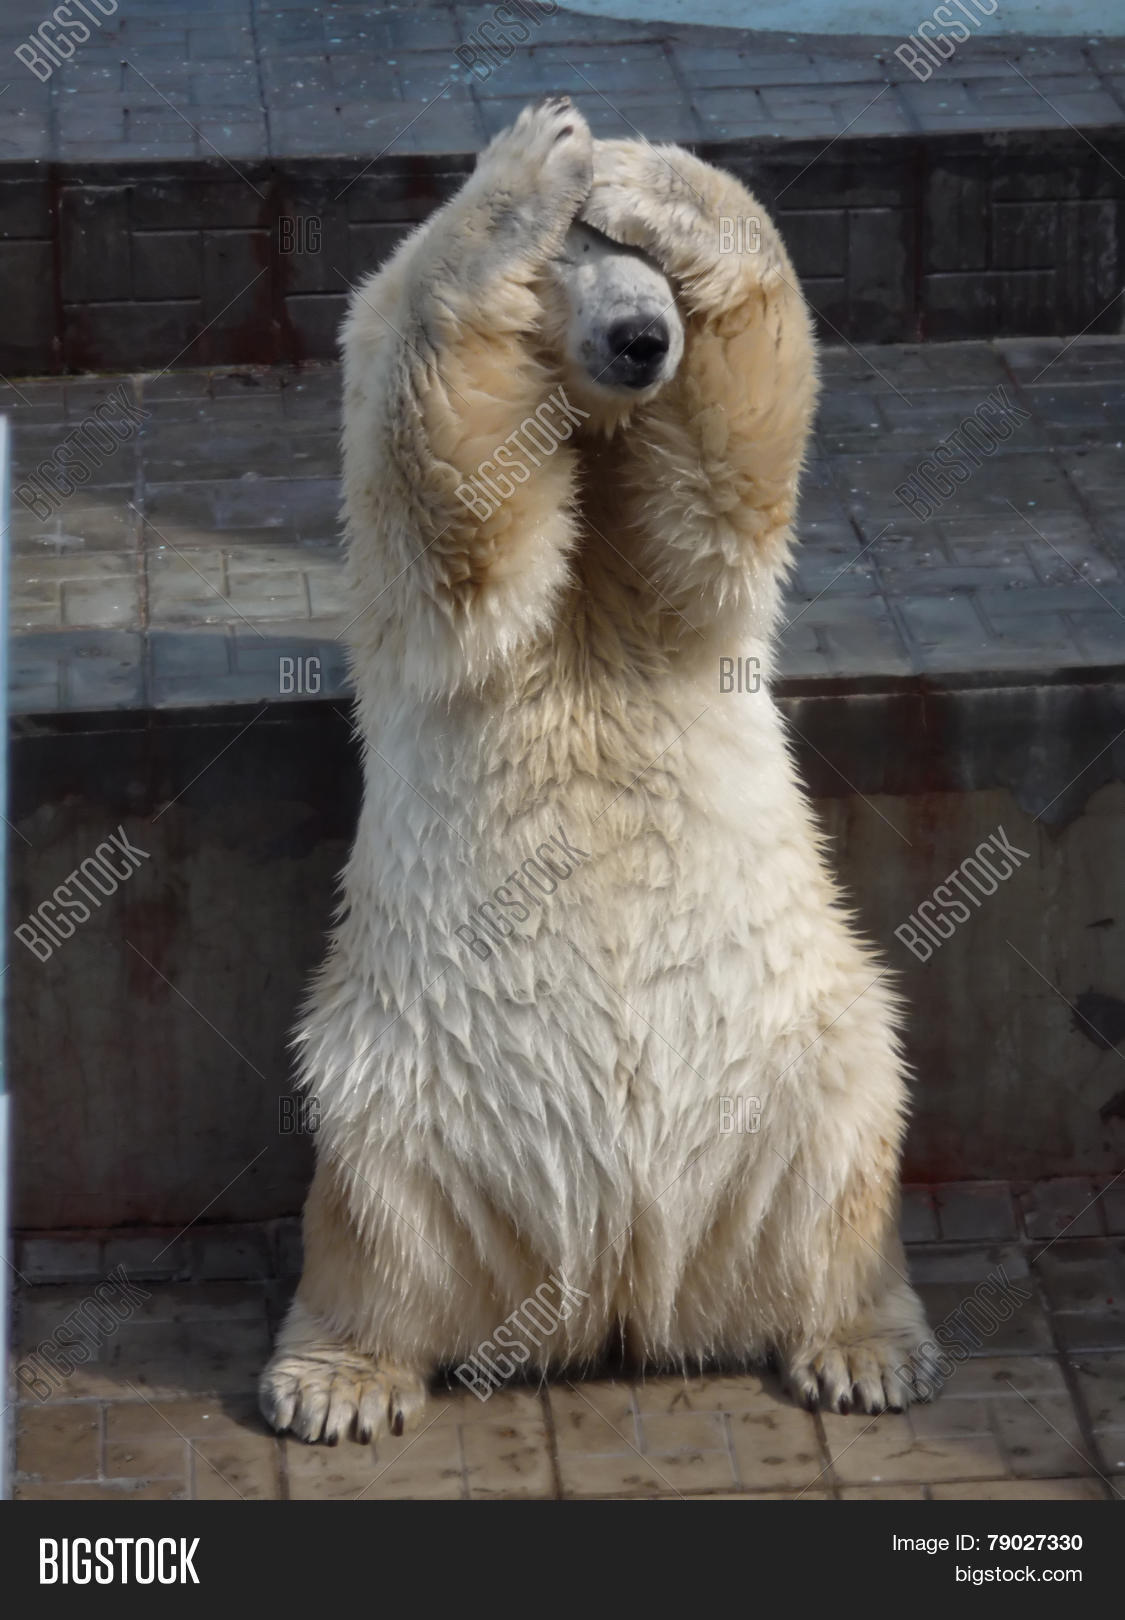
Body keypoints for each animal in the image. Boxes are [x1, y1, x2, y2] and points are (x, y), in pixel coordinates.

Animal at [259, 97, 936, 1446]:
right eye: (577, 256)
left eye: (649, 271)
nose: (643, 336)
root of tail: (622, 1282)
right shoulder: (385, 384)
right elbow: (458, 497)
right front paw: (529, 161)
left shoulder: (670, 565)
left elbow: (727, 473)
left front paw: (649, 171)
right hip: (395, 1080)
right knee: (373, 1215)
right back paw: (337, 1380)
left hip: (808, 1053)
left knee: (846, 1153)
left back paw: (864, 1350)